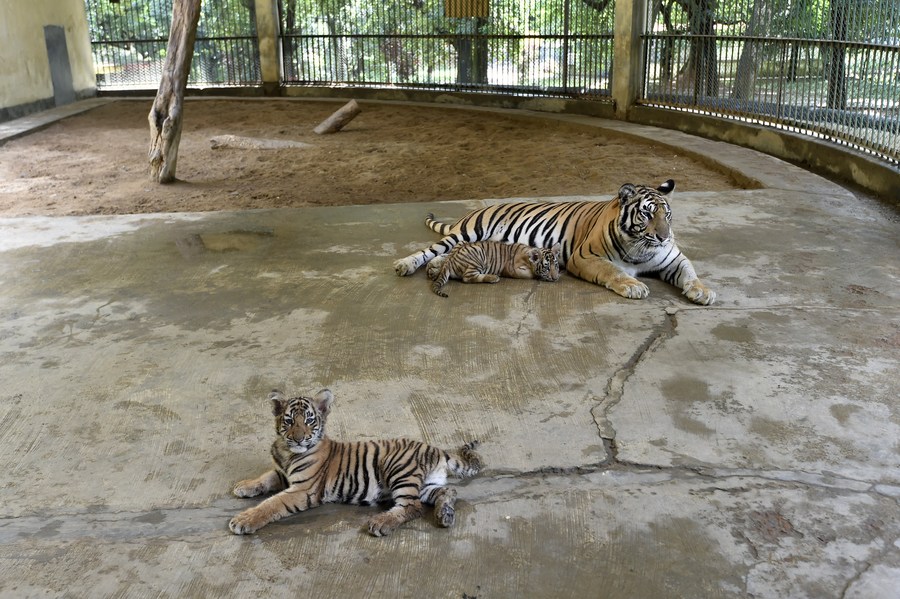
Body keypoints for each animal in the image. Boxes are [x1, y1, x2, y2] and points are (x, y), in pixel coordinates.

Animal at [394, 179, 716, 304]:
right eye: (647, 214)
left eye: (667, 215)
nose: (664, 236)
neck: (642, 247)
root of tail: (474, 210)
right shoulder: (585, 257)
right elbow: (614, 271)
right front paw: (633, 285)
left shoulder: (673, 258)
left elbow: (690, 272)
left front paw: (702, 292)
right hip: (467, 233)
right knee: (429, 251)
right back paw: (405, 265)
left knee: (449, 256)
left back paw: (435, 268)